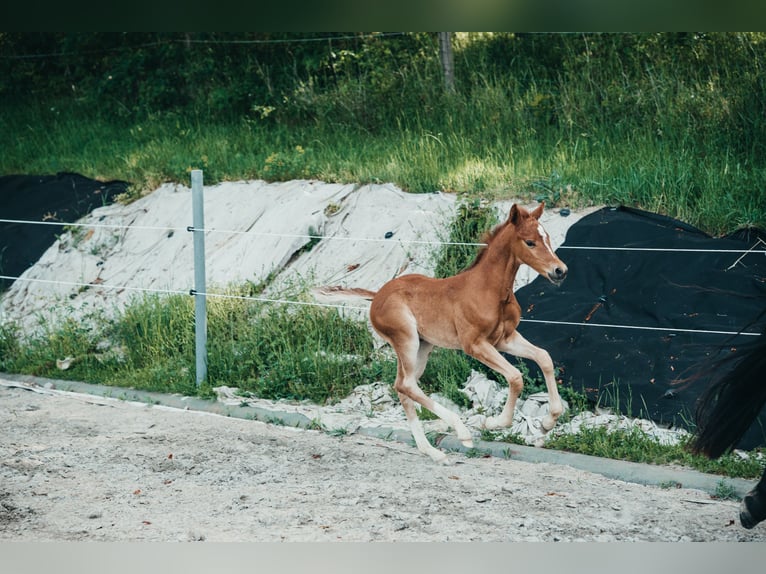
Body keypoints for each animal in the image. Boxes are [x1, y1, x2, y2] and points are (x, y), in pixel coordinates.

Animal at [320, 202, 568, 464]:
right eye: (530, 242)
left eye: (548, 238)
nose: (560, 270)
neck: (489, 290)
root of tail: (376, 296)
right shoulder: (474, 345)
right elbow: (515, 377)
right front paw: (493, 423)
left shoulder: (505, 339)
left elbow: (544, 358)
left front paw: (547, 423)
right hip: (406, 340)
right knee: (407, 385)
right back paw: (462, 433)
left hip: (423, 346)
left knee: (402, 387)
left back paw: (431, 451)